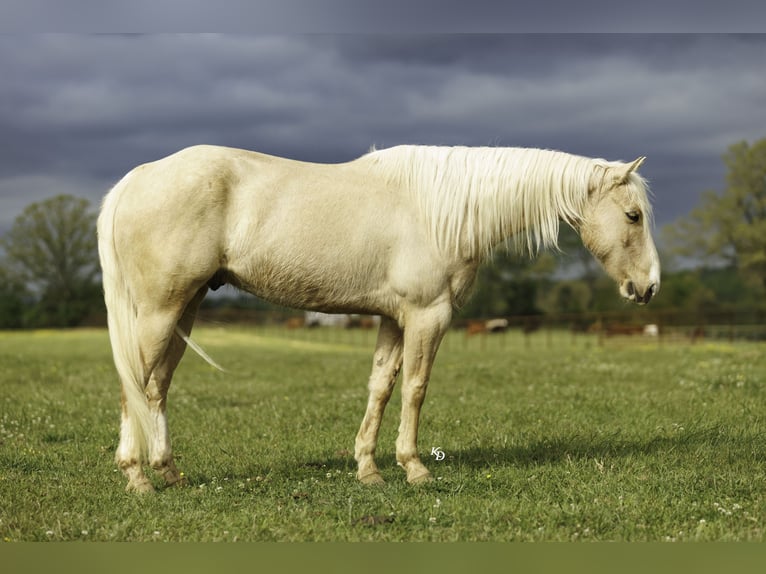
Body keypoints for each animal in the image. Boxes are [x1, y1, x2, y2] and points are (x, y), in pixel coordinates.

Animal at [97, 144, 660, 492]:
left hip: (184, 309)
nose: (649, 286)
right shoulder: (428, 316)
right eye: (632, 216)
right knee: (135, 385)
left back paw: (168, 472)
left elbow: (381, 388)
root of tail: (136, 179)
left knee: (156, 387)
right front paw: (414, 468)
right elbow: (415, 387)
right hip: (159, 311)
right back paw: (137, 477)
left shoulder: (392, 319)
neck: (443, 210)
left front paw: (369, 469)